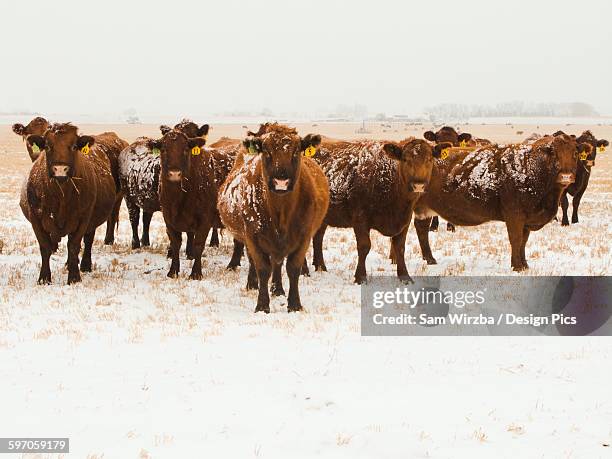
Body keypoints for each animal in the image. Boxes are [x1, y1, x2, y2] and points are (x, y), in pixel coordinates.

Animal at [20, 124, 117, 286]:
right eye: (47, 146)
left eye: (73, 146)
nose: (60, 169)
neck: (61, 197)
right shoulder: (36, 219)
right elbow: (45, 247)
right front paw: (44, 278)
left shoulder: (83, 218)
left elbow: (74, 246)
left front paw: (74, 277)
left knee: (88, 240)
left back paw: (84, 265)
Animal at [218, 124, 328, 314]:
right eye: (267, 151)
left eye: (296, 151)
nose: (281, 182)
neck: (281, 213)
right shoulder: (253, 237)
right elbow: (262, 268)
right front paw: (262, 305)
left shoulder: (304, 237)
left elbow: (293, 268)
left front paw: (294, 304)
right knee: (255, 261)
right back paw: (252, 284)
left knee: (277, 263)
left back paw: (278, 289)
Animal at [314, 137, 448, 284]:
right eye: (405, 159)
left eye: (429, 159)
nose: (418, 185)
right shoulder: (360, 219)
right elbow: (364, 246)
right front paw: (360, 277)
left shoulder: (404, 220)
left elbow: (400, 247)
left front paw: (405, 276)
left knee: (317, 238)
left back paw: (320, 266)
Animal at [414, 133, 592, 272]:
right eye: (554, 153)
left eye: (575, 153)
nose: (566, 176)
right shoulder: (514, 215)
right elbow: (516, 239)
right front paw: (517, 266)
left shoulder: (526, 220)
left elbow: (523, 241)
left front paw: (525, 264)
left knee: (421, 229)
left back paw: (429, 259)